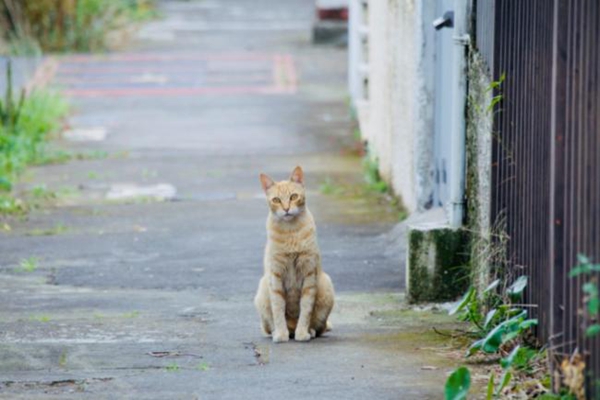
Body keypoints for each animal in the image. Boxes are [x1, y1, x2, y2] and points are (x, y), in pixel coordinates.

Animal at [254, 167, 336, 342]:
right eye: (276, 200)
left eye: (293, 197)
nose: (286, 209)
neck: (290, 232)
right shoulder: (275, 276)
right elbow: (278, 308)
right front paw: (281, 335)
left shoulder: (309, 274)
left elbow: (306, 309)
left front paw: (302, 333)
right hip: (263, 288)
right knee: (268, 327)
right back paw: (279, 332)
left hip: (326, 286)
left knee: (320, 328)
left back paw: (308, 331)